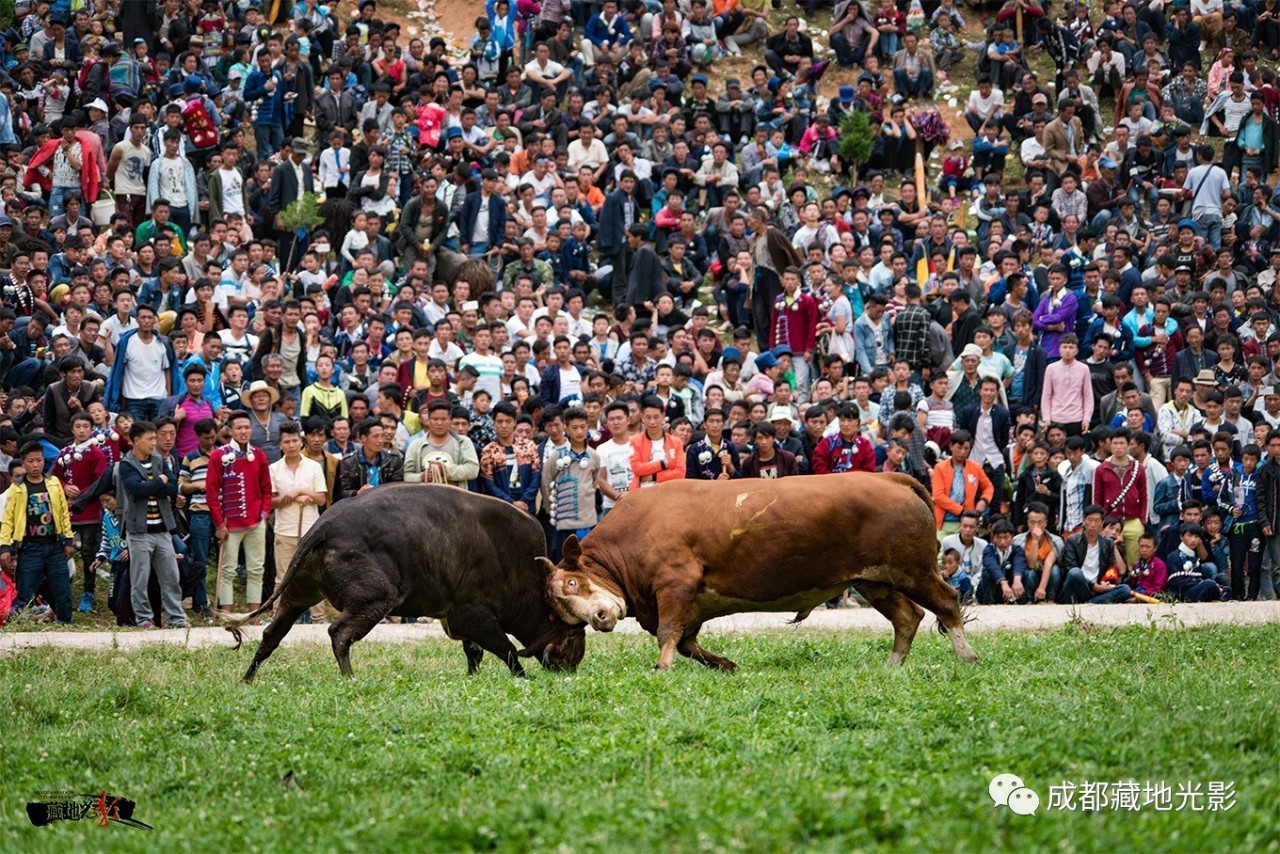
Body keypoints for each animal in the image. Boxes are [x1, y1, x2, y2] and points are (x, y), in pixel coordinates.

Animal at [224, 486, 586, 681]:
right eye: (572, 635)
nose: (572, 668)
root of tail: (322, 527)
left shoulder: (459, 620)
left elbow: (475, 652)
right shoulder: (474, 615)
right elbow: (506, 649)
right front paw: (523, 677)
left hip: (297, 595)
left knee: (272, 635)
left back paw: (247, 679)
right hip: (375, 600)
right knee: (339, 633)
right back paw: (349, 678)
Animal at [542, 471, 977, 670]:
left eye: (573, 581)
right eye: (560, 607)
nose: (599, 619)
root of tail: (887, 476)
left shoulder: (675, 585)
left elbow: (669, 634)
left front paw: (662, 668)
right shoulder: (691, 605)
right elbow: (686, 642)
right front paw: (724, 664)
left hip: (913, 570)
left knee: (946, 603)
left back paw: (966, 656)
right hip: (874, 580)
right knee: (907, 617)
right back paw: (892, 665)